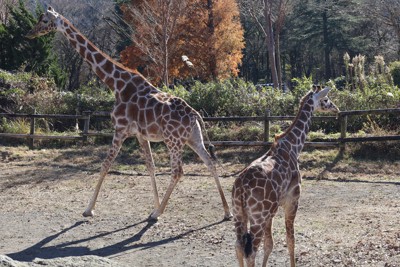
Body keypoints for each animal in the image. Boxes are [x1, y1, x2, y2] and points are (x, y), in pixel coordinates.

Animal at [26, 6, 231, 222]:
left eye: (44, 20)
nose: (29, 33)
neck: (116, 84)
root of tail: (194, 114)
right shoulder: (141, 135)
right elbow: (150, 167)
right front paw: (153, 206)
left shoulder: (120, 129)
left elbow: (105, 165)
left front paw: (89, 209)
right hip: (193, 137)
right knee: (210, 162)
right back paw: (227, 211)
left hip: (173, 140)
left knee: (178, 171)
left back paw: (160, 212)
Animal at [233, 87, 340, 266]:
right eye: (326, 99)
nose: (336, 109)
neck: (293, 146)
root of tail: (241, 188)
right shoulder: (292, 200)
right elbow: (291, 241)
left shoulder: (272, 211)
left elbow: (270, 244)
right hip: (257, 217)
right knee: (251, 251)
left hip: (239, 213)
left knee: (239, 246)